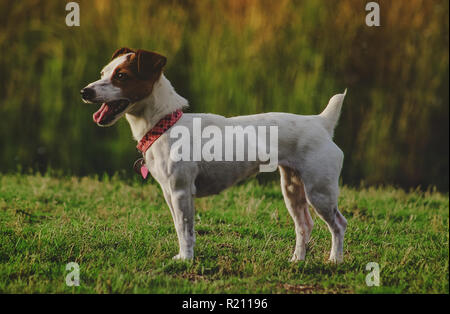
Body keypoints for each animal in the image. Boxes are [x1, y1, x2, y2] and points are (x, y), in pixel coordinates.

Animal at [81, 48, 348, 262]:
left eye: (121, 76)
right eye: (103, 73)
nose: (85, 91)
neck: (165, 125)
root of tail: (321, 122)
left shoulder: (181, 191)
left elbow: (186, 231)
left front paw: (186, 260)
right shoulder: (168, 192)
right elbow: (178, 226)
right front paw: (182, 256)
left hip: (319, 191)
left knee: (338, 224)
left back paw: (334, 260)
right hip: (292, 188)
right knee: (304, 225)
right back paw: (297, 260)